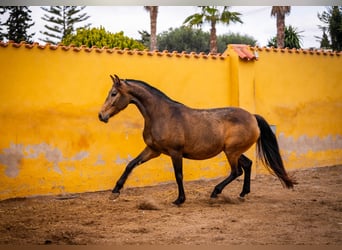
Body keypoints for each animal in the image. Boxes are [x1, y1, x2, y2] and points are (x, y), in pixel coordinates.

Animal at [97, 74, 296, 205]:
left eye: (113, 93)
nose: (101, 115)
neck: (162, 114)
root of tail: (253, 117)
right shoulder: (153, 150)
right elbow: (130, 164)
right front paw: (115, 192)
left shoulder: (175, 152)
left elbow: (178, 175)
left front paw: (179, 200)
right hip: (234, 151)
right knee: (247, 165)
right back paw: (242, 193)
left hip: (231, 152)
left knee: (236, 171)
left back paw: (216, 192)